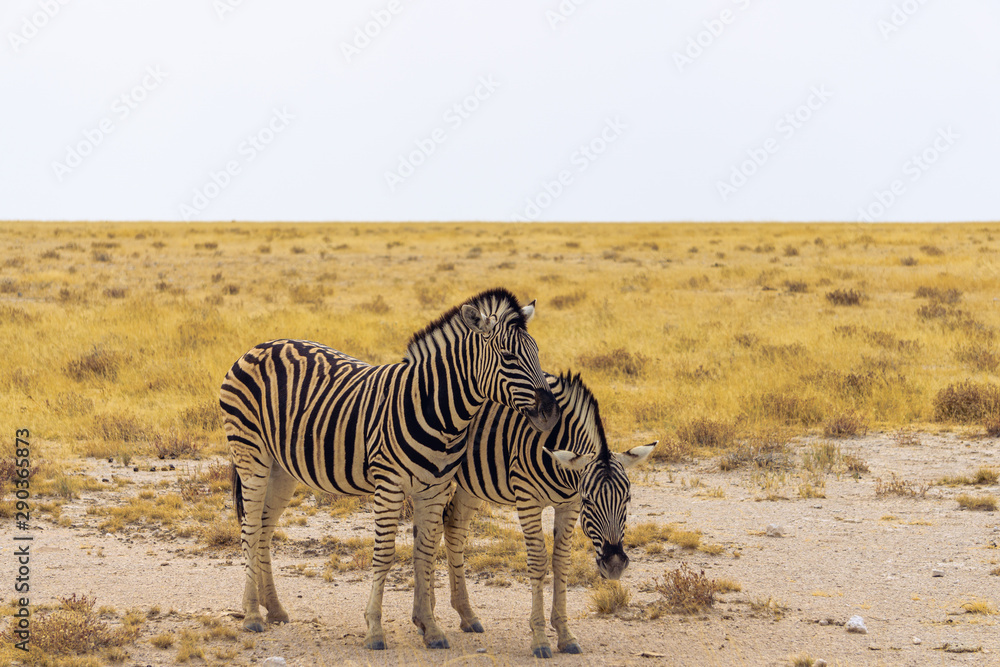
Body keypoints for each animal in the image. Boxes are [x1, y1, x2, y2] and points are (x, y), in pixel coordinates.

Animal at [220, 288, 560, 651]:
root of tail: (257, 347)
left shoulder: (435, 488)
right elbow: (384, 554)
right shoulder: (389, 485)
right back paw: (252, 614)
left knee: (264, 530)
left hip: (282, 469)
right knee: (251, 528)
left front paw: (431, 628)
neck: (439, 411)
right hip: (251, 455)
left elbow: (424, 553)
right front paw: (374, 629)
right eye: (508, 357)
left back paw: (274, 608)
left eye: (537, 353)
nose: (551, 413)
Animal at [442, 371, 655, 658]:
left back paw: (466, 615)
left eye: (628, 499)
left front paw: (565, 634)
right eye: (588, 500)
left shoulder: (568, 506)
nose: (614, 565)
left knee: (453, 528)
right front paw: (540, 638)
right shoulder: (528, 500)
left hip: (473, 483)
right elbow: (538, 561)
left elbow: (561, 560)